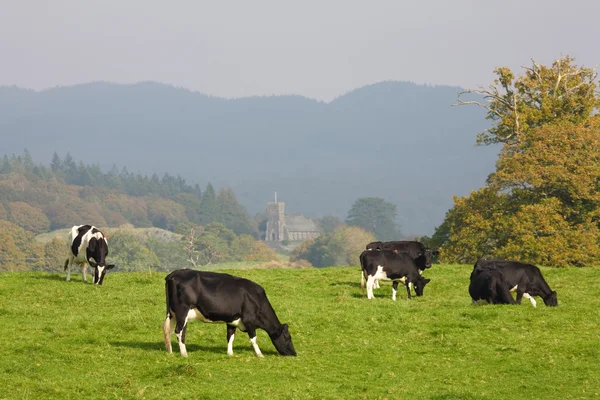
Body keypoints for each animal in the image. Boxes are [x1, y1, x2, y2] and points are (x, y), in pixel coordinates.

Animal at [163, 270, 296, 358]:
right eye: (287, 337)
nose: (294, 353)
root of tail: (173, 274)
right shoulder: (249, 320)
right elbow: (253, 338)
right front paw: (260, 354)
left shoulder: (232, 320)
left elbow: (230, 336)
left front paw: (230, 353)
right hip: (182, 311)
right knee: (178, 331)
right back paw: (184, 354)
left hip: (173, 314)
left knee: (169, 331)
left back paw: (170, 351)